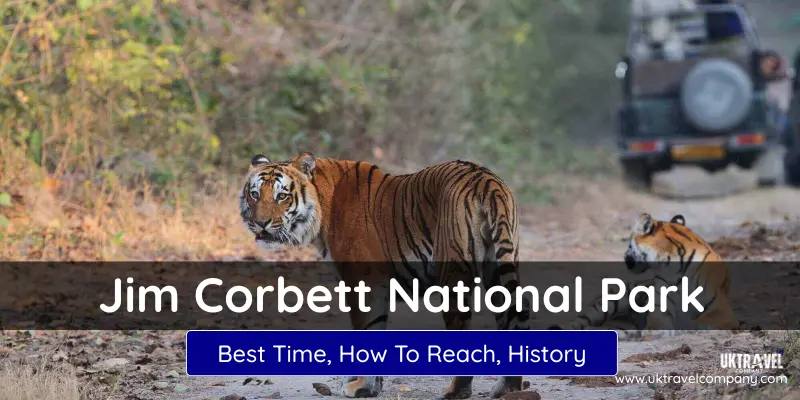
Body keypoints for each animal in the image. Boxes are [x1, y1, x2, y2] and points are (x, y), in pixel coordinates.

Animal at [240, 152, 531, 399]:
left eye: (281, 196)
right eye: (254, 194)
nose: (260, 223)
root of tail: (486, 181)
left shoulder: (363, 280)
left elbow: (367, 330)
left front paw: (359, 386)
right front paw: (370, 387)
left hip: (454, 274)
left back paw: (457, 390)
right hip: (499, 266)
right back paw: (508, 388)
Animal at [549, 213, 739, 340]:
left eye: (628, 244)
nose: (624, 258)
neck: (673, 264)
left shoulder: (721, 307)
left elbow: (704, 320)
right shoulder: (660, 309)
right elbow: (658, 324)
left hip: (620, 324)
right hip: (610, 302)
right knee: (575, 323)